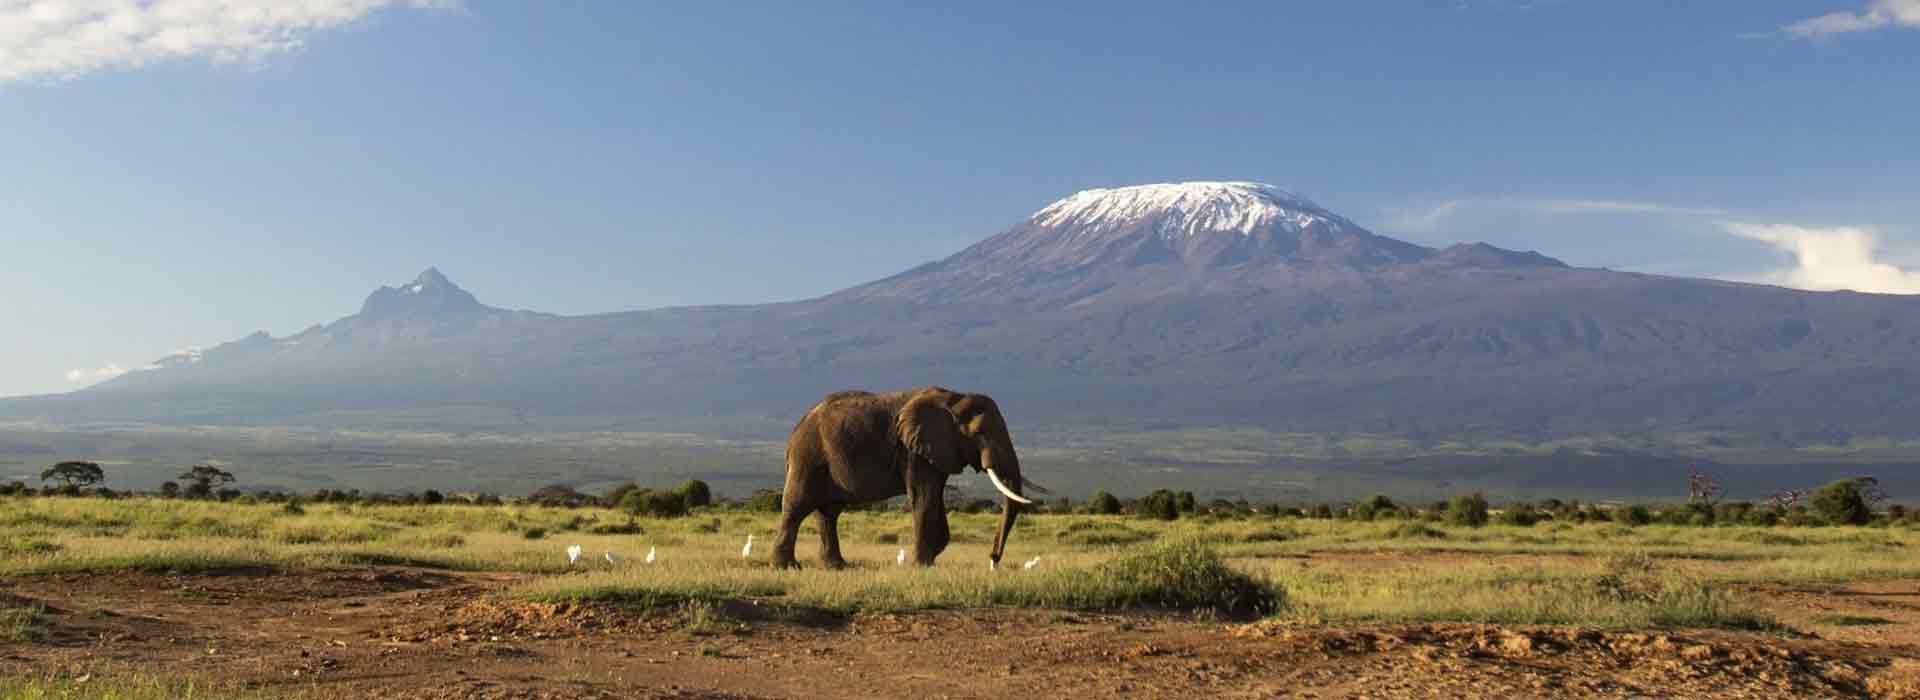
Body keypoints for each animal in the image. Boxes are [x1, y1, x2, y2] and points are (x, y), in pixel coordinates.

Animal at [768, 387, 1044, 567]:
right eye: (981, 433)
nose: (992, 558)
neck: (954, 399)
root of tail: (793, 432)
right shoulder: (912, 451)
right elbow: (924, 498)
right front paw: (921, 566)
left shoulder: (937, 451)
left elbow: (935, 498)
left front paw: (931, 558)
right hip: (808, 457)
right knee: (797, 507)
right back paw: (787, 567)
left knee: (828, 513)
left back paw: (837, 567)